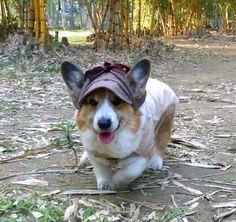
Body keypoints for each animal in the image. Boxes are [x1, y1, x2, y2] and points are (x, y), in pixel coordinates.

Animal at [61, 59, 178, 191]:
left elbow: (128, 173)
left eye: (117, 101)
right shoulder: (95, 154)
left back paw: (156, 162)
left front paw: (115, 182)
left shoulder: (143, 156)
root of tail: (158, 82)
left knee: (162, 141)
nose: (104, 124)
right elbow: (101, 170)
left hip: (166, 121)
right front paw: (105, 184)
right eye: (92, 102)